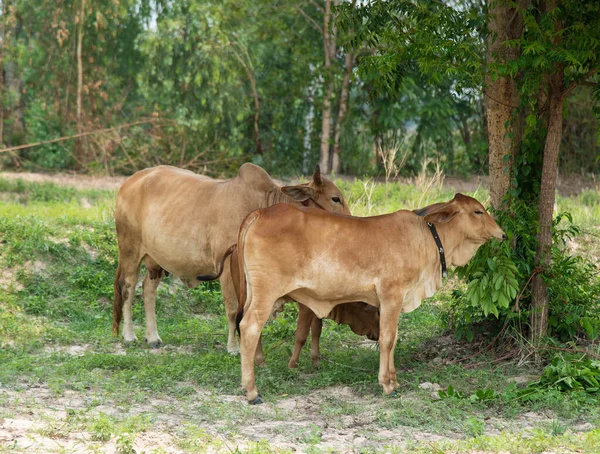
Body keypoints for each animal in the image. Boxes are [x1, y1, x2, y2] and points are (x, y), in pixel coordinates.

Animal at [111, 164, 352, 352]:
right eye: (335, 198)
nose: (350, 222)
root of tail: (129, 182)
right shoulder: (228, 268)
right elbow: (233, 308)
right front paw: (234, 347)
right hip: (130, 249)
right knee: (128, 288)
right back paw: (130, 336)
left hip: (155, 260)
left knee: (148, 289)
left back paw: (153, 337)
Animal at [234, 193, 506, 402]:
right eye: (478, 211)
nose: (502, 234)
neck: (427, 238)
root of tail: (259, 213)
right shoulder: (391, 296)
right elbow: (387, 340)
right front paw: (386, 384)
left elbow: (393, 340)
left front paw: (394, 380)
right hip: (266, 293)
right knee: (249, 328)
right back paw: (252, 391)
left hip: (253, 293)